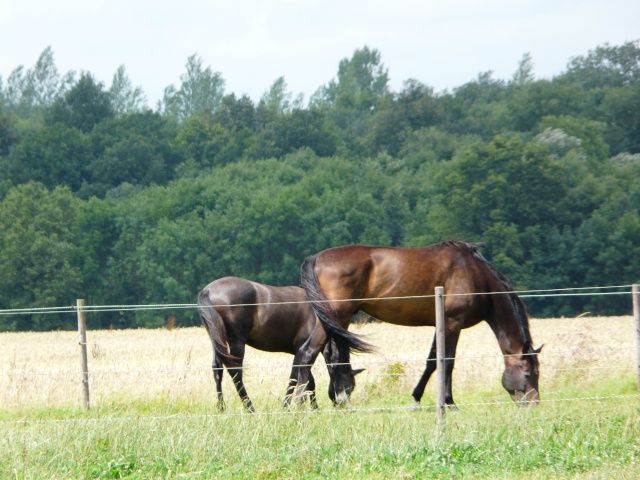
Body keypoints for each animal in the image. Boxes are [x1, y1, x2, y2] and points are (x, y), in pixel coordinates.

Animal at [196, 278, 364, 412]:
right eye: (349, 386)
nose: (343, 406)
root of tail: (208, 291)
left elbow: (308, 382)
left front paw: (313, 407)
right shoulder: (302, 351)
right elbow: (297, 380)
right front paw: (289, 406)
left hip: (217, 339)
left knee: (217, 369)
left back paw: (221, 407)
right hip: (236, 342)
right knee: (235, 371)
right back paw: (249, 407)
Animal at [302, 242, 544, 406]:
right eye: (528, 374)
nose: (534, 404)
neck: (477, 275)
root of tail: (315, 258)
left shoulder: (441, 325)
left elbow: (432, 361)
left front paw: (416, 398)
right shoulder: (453, 323)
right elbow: (447, 361)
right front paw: (449, 402)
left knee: (329, 356)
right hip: (336, 316)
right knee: (308, 353)